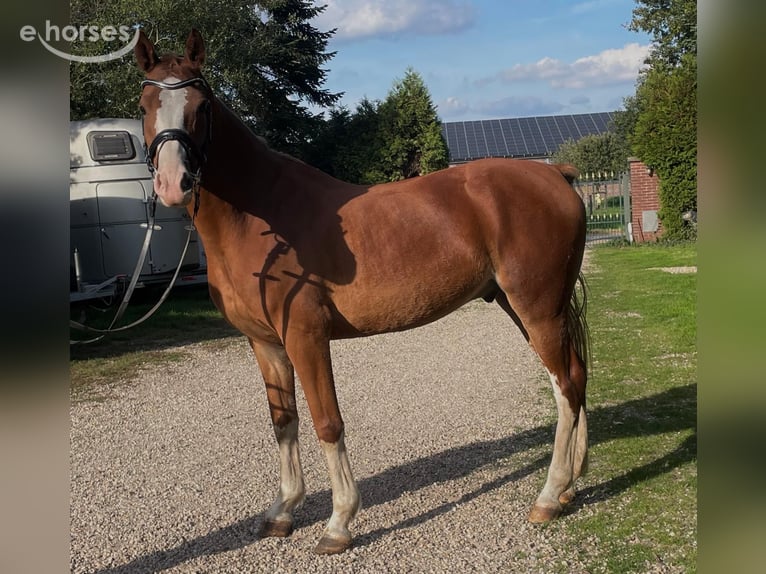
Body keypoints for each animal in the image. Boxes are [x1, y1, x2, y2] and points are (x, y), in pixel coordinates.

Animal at [134, 29, 590, 555]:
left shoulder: (306, 338)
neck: (262, 216)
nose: (174, 183)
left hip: (538, 309)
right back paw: (572, 484)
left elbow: (326, 421)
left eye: (201, 105)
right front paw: (282, 512)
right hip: (529, 309)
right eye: (145, 103)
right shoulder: (265, 343)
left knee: (565, 386)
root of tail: (554, 173)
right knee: (576, 377)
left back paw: (549, 496)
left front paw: (338, 523)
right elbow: (283, 422)